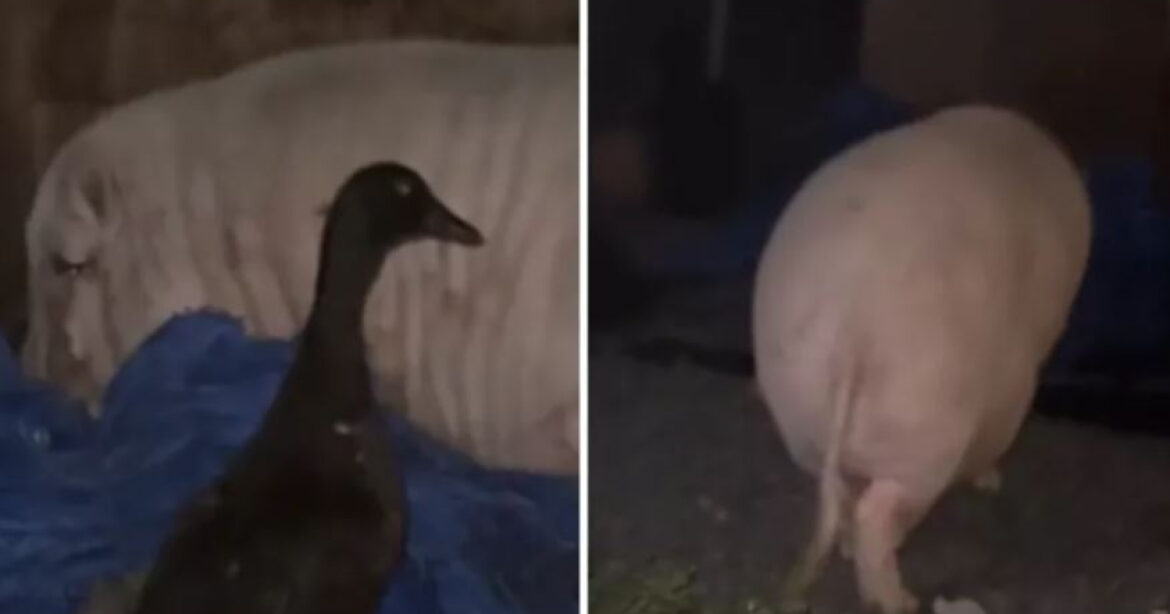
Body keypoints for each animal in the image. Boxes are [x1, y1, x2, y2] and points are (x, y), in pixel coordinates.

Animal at [751, 106, 1091, 612]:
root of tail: (853, 322)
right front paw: (990, 480)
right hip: (923, 424)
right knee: (876, 512)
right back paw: (901, 600)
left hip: (800, 407)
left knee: (842, 495)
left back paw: (857, 555)